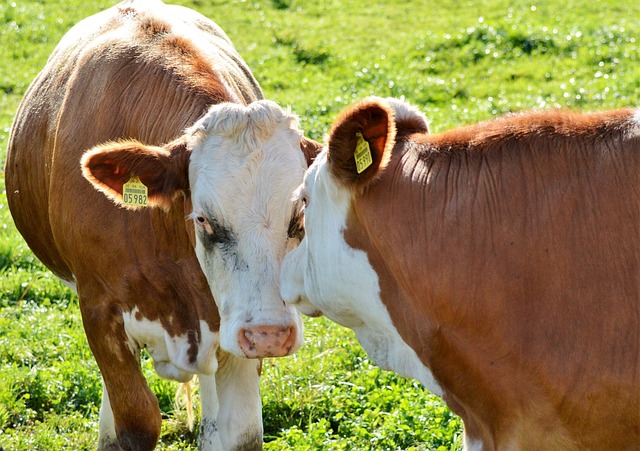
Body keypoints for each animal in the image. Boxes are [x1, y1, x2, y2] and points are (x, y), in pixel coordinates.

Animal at [5, 1, 320, 450]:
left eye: (299, 216)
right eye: (203, 219)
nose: (268, 335)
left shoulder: (231, 332)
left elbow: (239, 432)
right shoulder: (98, 310)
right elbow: (136, 420)